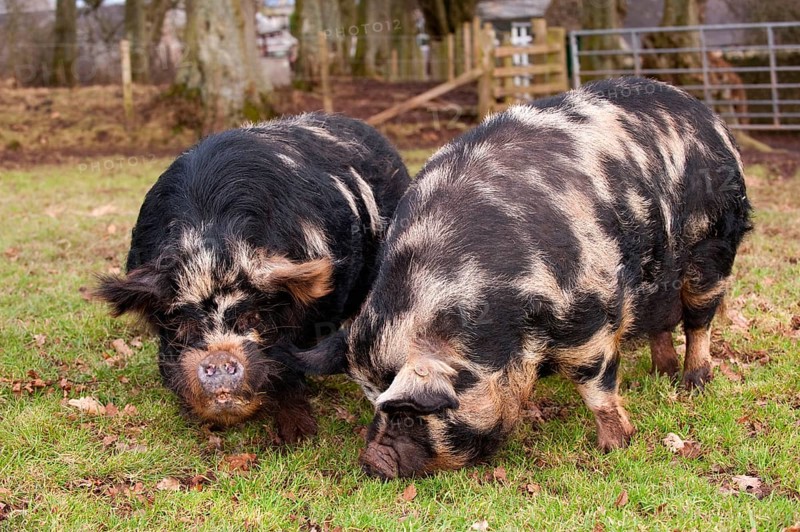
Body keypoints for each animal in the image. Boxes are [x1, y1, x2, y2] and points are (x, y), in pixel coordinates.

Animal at [96, 113, 410, 442]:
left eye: (253, 317)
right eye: (184, 324)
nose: (219, 358)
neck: (213, 247)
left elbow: (289, 366)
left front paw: (296, 437)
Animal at [291, 77, 753, 477]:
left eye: (409, 415)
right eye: (373, 401)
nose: (372, 463)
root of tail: (704, 113)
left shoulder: (590, 316)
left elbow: (596, 385)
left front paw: (615, 445)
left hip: (714, 247)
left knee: (699, 320)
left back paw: (693, 384)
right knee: (661, 322)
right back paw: (662, 372)